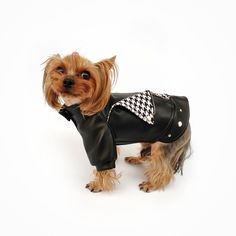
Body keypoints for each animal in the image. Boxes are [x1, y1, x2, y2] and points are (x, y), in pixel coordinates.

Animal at [42, 52, 192, 193]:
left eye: (86, 75)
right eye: (60, 69)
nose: (67, 81)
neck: (84, 106)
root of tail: (188, 124)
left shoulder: (100, 140)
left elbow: (104, 166)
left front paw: (98, 185)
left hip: (163, 144)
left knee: (162, 168)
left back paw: (151, 184)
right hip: (149, 136)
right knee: (147, 155)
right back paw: (135, 159)